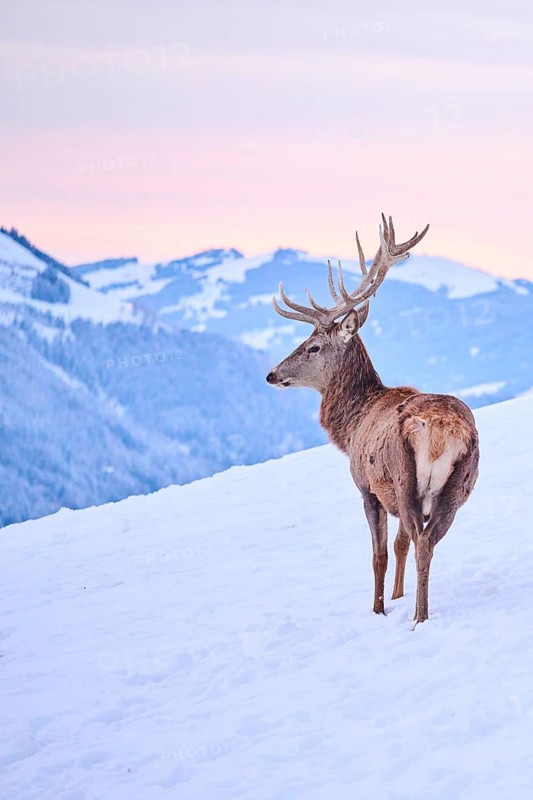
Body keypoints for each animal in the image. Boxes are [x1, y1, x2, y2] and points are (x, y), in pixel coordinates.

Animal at [266, 216, 479, 624]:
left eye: (313, 346)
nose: (271, 374)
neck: (350, 428)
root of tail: (442, 430)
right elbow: (398, 545)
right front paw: (396, 596)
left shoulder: (368, 488)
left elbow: (379, 554)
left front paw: (379, 608)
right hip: (458, 485)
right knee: (427, 540)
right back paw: (419, 611)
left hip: (404, 477)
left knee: (422, 541)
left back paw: (419, 618)